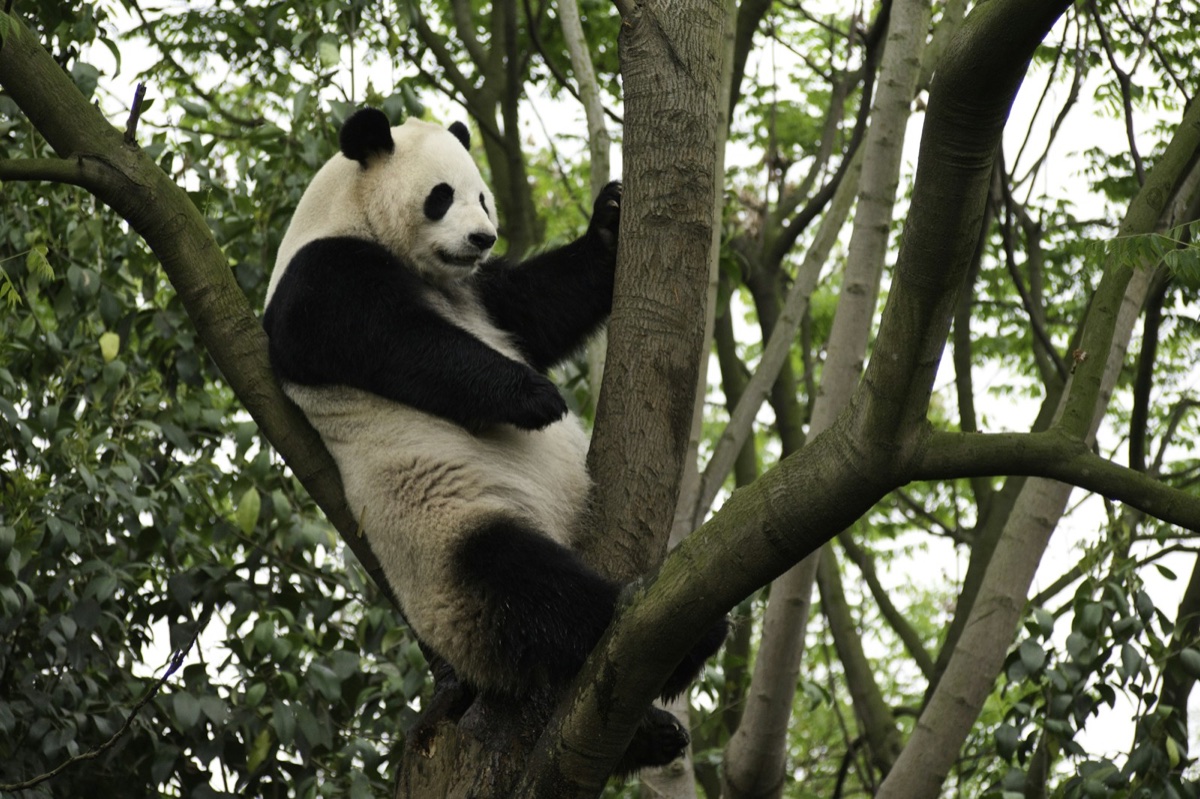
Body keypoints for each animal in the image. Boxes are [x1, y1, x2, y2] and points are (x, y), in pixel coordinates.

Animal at [262, 108, 726, 771]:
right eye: (441, 197)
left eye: (482, 195)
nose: (483, 239)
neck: (349, 214)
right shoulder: (322, 279)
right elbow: (399, 341)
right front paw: (535, 397)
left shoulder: (479, 293)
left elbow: (538, 306)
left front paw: (610, 221)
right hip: (443, 535)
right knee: (525, 586)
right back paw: (684, 640)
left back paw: (654, 735)